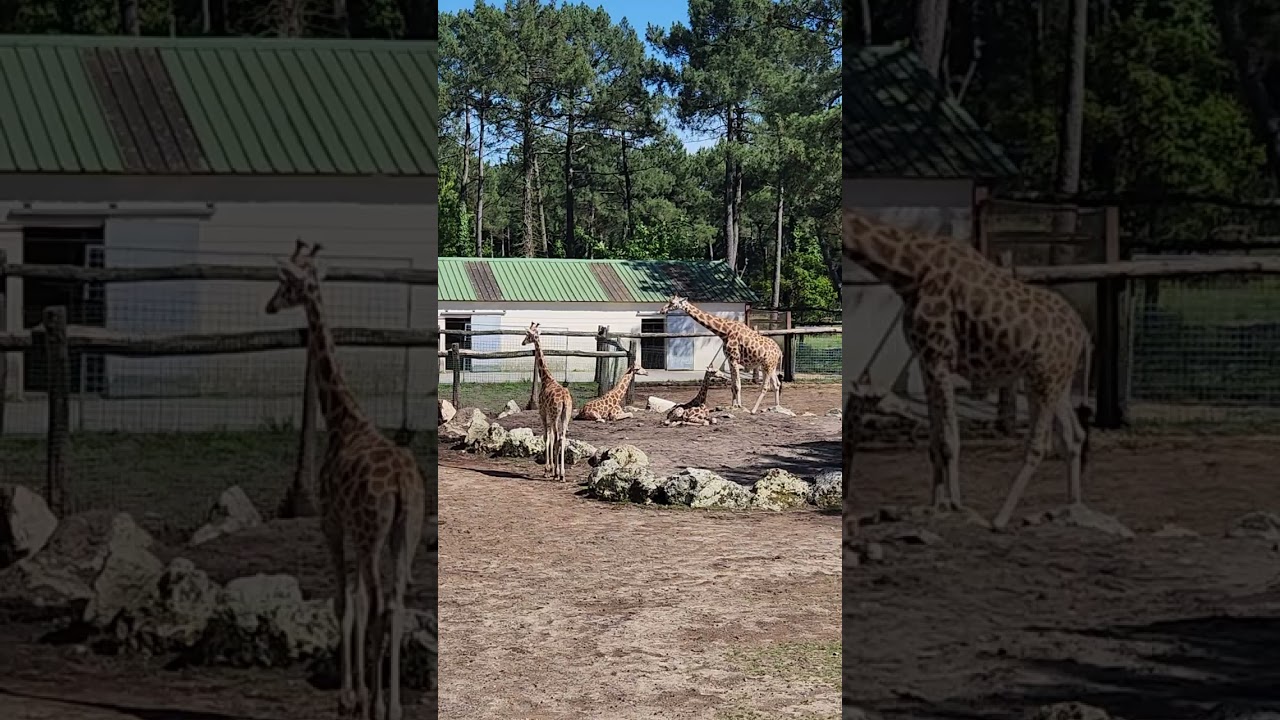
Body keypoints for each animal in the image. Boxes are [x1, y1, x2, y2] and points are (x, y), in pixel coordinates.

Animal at [265, 240, 427, 720]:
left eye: (286, 283)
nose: (269, 305)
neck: (342, 419)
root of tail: (402, 487)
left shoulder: (333, 523)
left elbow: (343, 602)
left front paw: (349, 697)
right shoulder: (356, 531)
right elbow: (355, 600)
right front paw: (356, 694)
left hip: (375, 534)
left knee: (379, 604)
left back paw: (377, 705)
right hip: (404, 533)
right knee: (394, 603)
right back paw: (393, 706)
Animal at [522, 322, 573, 480]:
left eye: (528, 335)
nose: (523, 342)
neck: (546, 378)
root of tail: (564, 400)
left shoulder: (543, 412)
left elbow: (546, 437)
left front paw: (547, 470)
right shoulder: (550, 415)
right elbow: (550, 436)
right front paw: (551, 469)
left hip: (556, 415)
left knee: (558, 437)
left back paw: (559, 473)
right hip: (565, 415)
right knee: (562, 437)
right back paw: (562, 474)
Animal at [843, 211, 1093, 529]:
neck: (909, 270)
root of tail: (1084, 335)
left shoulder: (940, 355)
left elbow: (950, 439)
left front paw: (955, 506)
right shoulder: (924, 358)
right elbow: (935, 440)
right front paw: (933, 506)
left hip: (1046, 376)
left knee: (1041, 444)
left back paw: (1001, 519)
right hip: (1053, 379)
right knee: (1074, 435)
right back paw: (1072, 508)